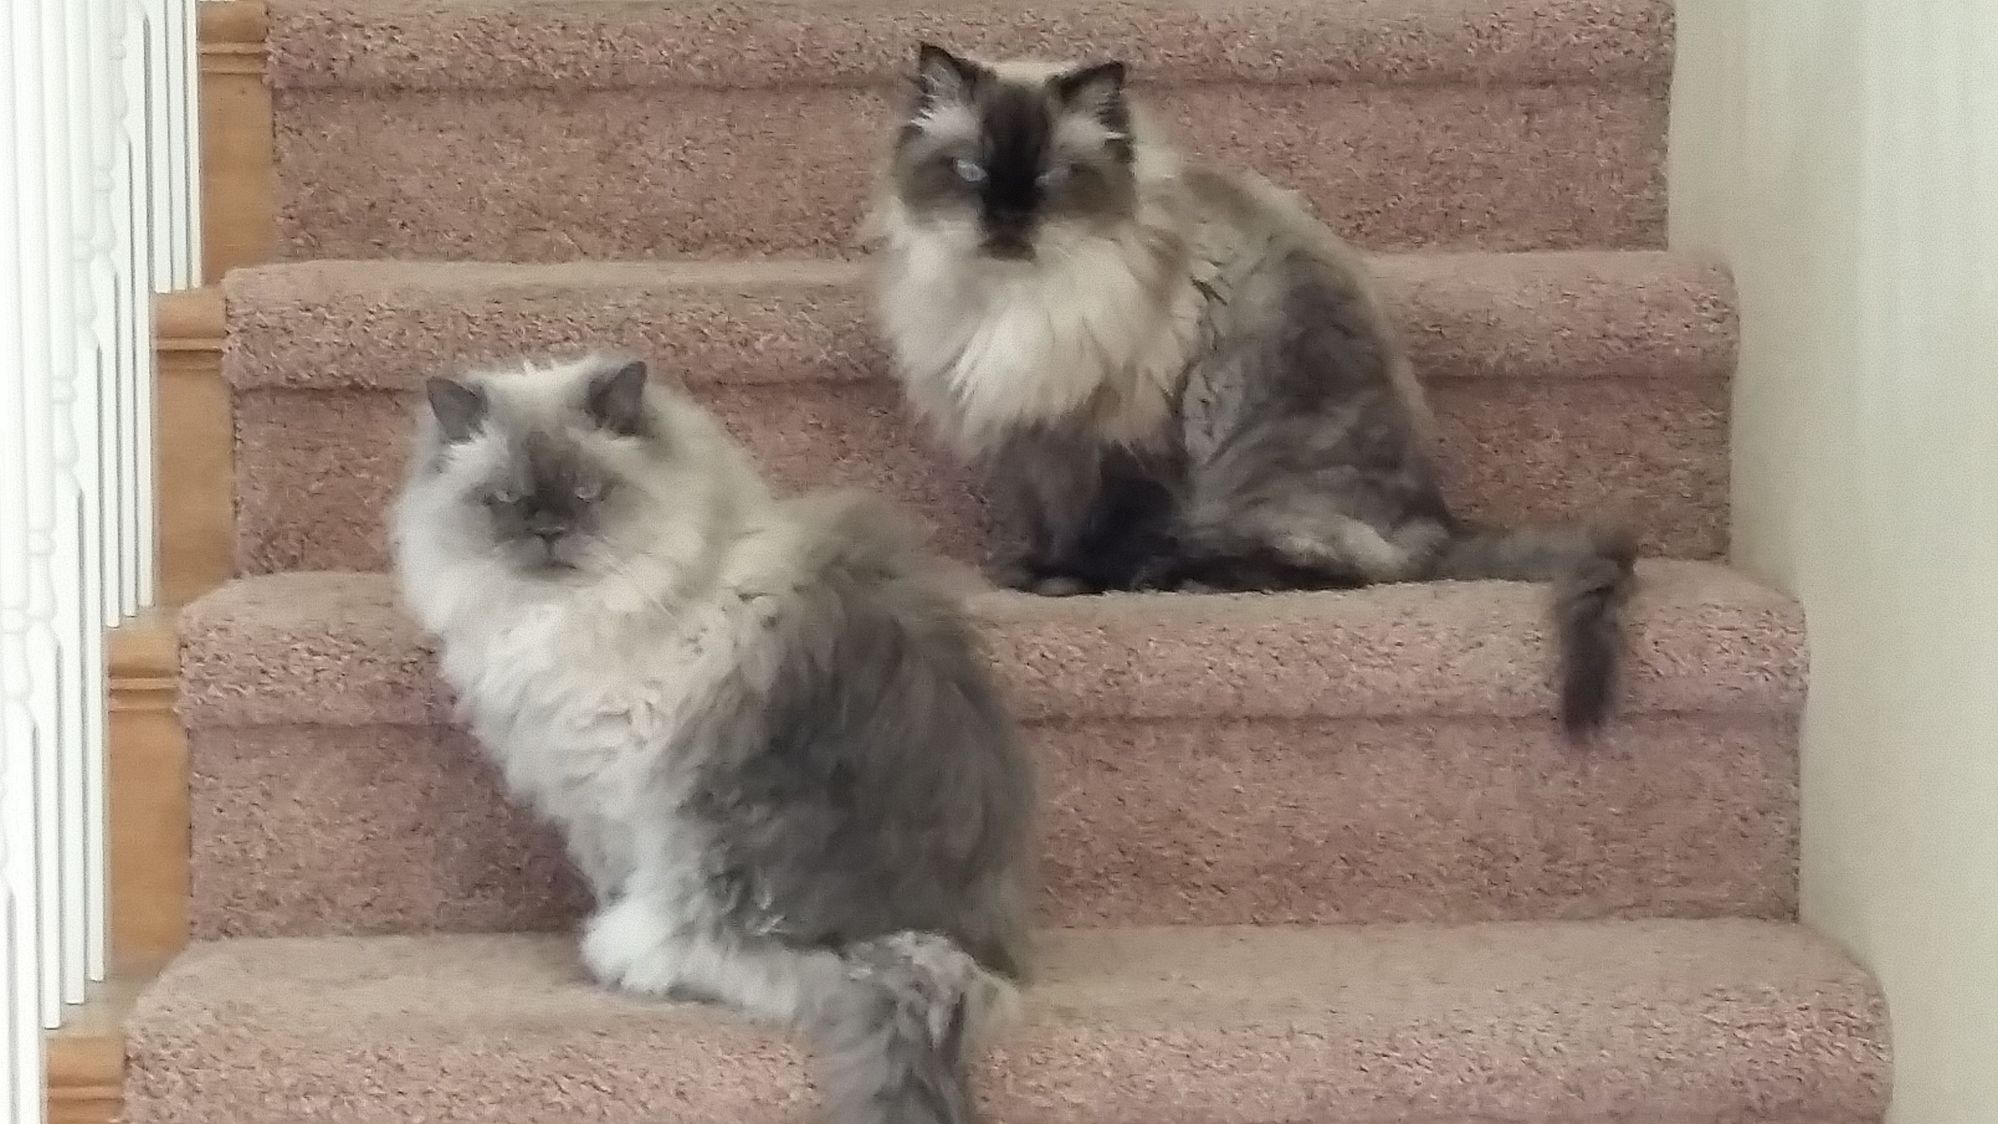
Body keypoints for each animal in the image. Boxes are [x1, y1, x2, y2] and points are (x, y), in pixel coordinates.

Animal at [390, 353, 1035, 1124]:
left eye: (587, 491)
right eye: (505, 499)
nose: (547, 531)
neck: (570, 613)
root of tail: (935, 945)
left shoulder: (621, 789)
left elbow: (623, 876)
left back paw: (622, 954)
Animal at [869, 43, 1638, 738]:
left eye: (1054, 177)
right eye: (970, 171)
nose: (1006, 221)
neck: (1022, 305)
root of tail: (1438, 521)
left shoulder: (1120, 438)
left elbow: (1100, 525)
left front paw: (1069, 583)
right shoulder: (1035, 433)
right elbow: (1044, 516)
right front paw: (1030, 571)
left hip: (1253, 494)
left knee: (1336, 571)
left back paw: (1180, 577)